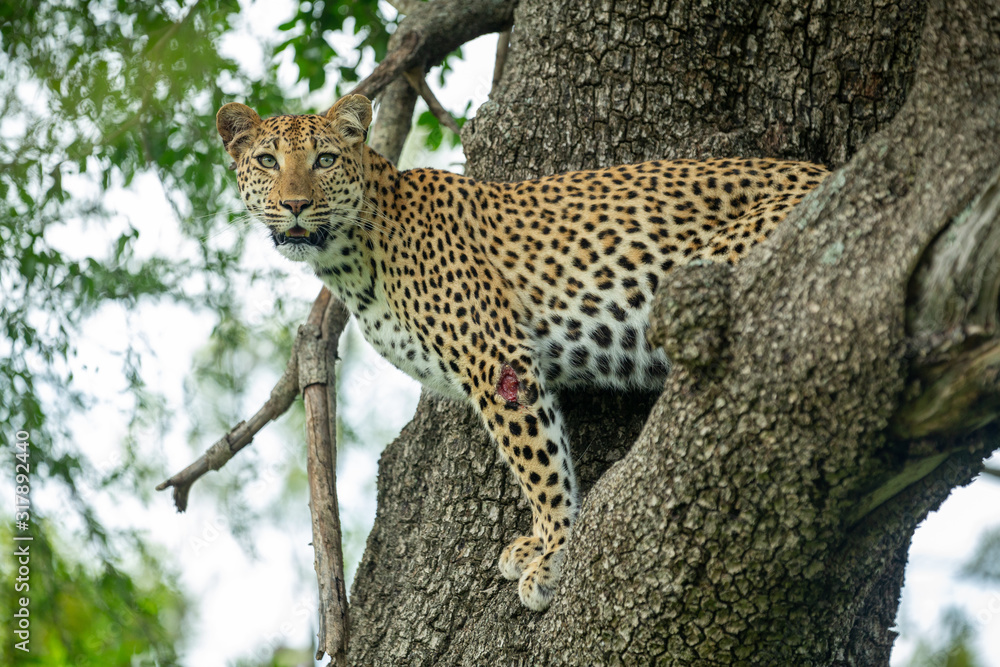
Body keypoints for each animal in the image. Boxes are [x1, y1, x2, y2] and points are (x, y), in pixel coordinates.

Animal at [216, 94, 829, 611]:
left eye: (323, 160)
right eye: (268, 161)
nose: (296, 204)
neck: (350, 259)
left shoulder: (496, 358)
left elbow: (539, 463)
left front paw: (554, 552)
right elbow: (541, 454)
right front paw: (537, 545)